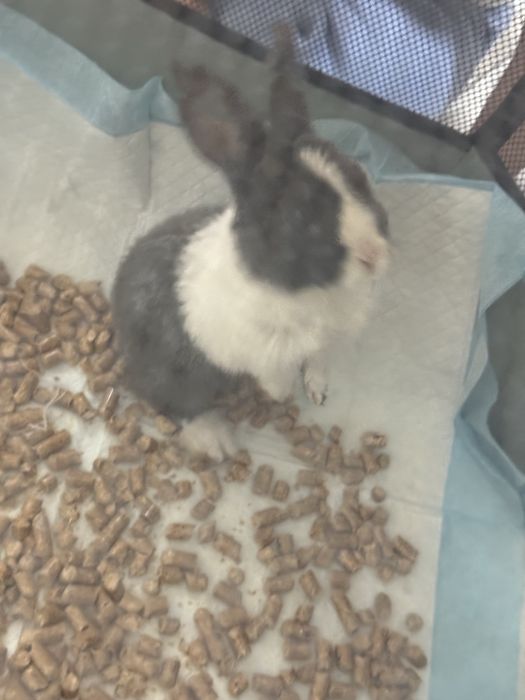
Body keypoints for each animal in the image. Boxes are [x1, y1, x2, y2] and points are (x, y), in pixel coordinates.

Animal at [111, 26, 390, 460]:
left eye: (357, 176)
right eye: (299, 217)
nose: (374, 255)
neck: (315, 291)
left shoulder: (325, 340)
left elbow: (318, 360)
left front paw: (318, 388)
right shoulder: (262, 352)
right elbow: (275, 378)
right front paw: (283, 396)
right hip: (173, 372)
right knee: (166, 399)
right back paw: (216, 440)